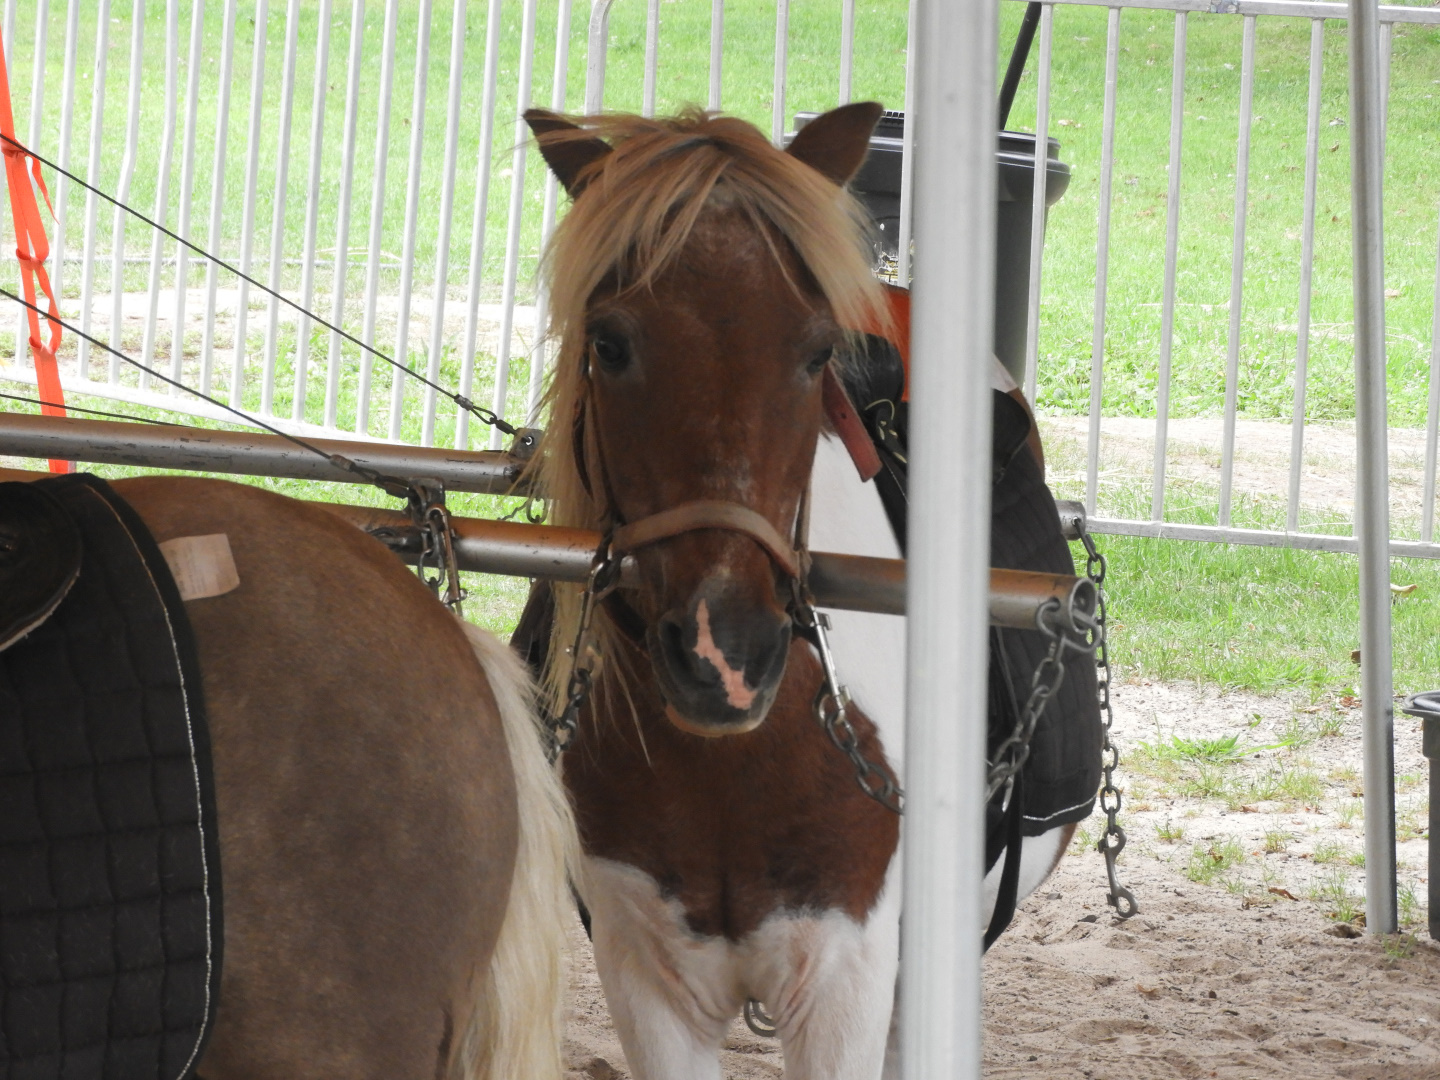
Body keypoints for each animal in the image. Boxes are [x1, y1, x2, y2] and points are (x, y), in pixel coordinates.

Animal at [521, 104, 1096, 1080]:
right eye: (609, 342)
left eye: (817, 350)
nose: (724, 655)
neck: (733, 764)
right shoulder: (648, 978)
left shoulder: (844, 982)